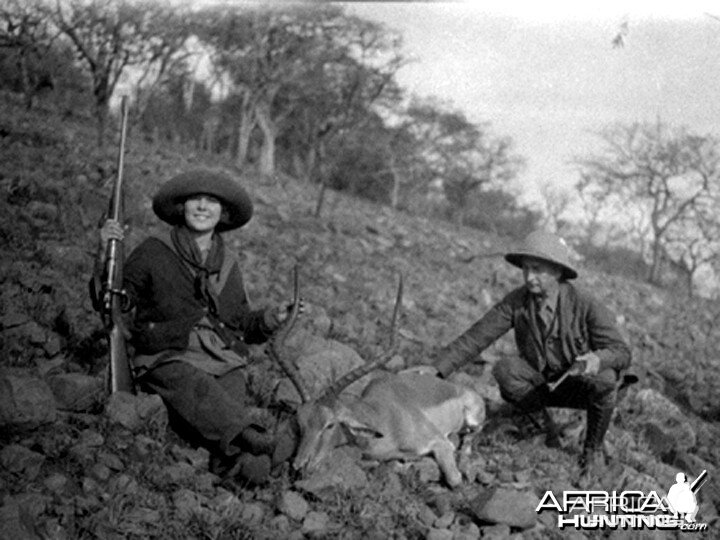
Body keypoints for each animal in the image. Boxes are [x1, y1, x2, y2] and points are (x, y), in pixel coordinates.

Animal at [268, 270, 484, 490]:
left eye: (329, 425)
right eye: (300, 422)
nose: (298, 468)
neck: (385, 418)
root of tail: (458, 388)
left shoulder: (440, 443)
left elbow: (454, 479)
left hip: (473, 419)